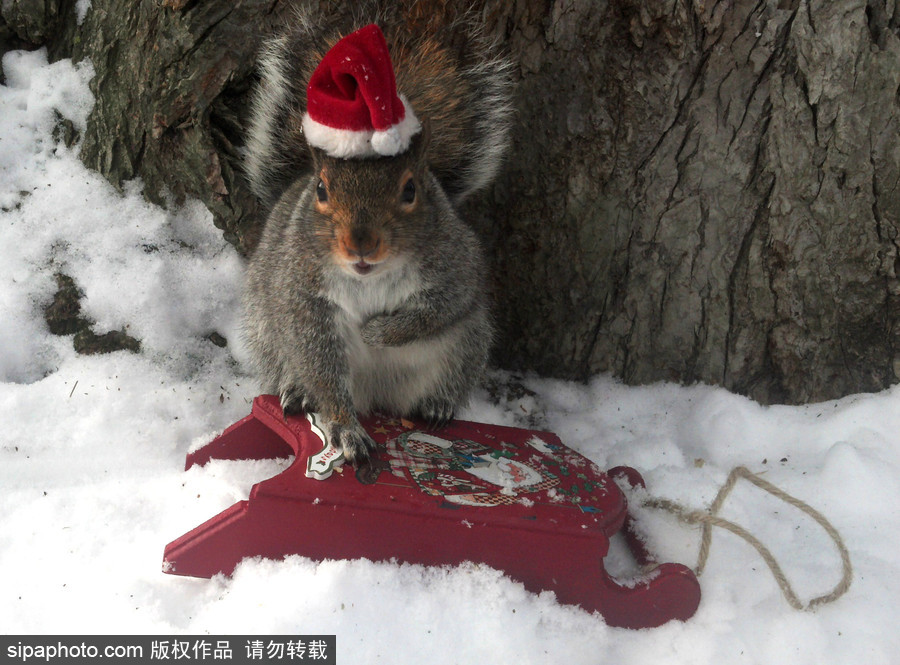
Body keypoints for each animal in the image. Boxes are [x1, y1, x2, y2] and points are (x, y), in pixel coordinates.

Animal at [239, 6, 512, 472]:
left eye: (411, 190)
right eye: (321, 189)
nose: (360, 244)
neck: (370, 276)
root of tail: (378, 396)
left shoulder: (455, 268)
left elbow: (435, 311)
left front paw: (377, 333)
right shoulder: (305, 297)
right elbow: (322, 366)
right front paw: (346, 430)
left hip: (466, 346)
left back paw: (438, 404)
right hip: (266, 331)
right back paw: (298, 391)